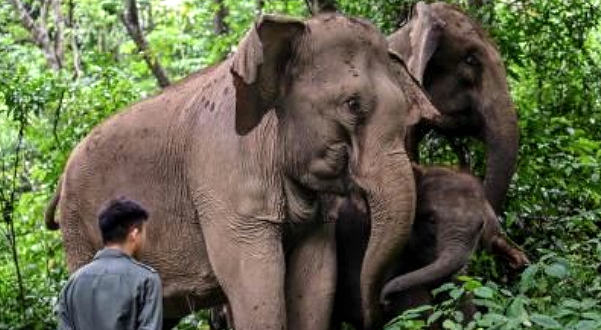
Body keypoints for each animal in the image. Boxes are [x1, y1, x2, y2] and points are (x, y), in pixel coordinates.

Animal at [43, 11, 436, 328]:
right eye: (352, 105)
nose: (381, 304)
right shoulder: (223, 168)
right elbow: (253, 280)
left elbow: (316, 277)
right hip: (78, 228)